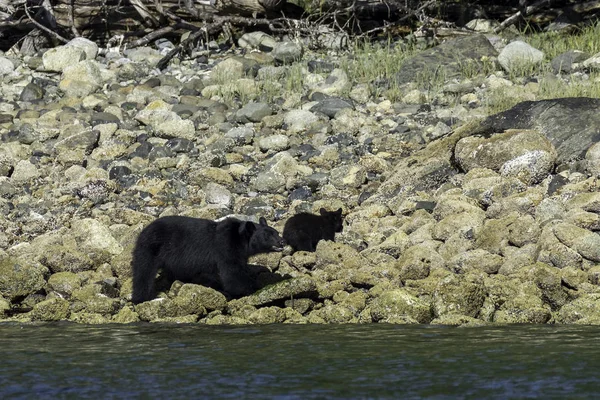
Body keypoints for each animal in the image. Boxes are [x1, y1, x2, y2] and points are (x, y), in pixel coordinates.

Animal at [132, 216, 288, 304]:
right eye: (267, 235)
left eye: (276, 232)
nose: (282, 241)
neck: (241, 240)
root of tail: (144, 229)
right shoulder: (226, 248)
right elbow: (232, 274)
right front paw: (251, 288)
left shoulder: (240, 254)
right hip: (151, 247)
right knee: (143, 271)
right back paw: (141, 297)